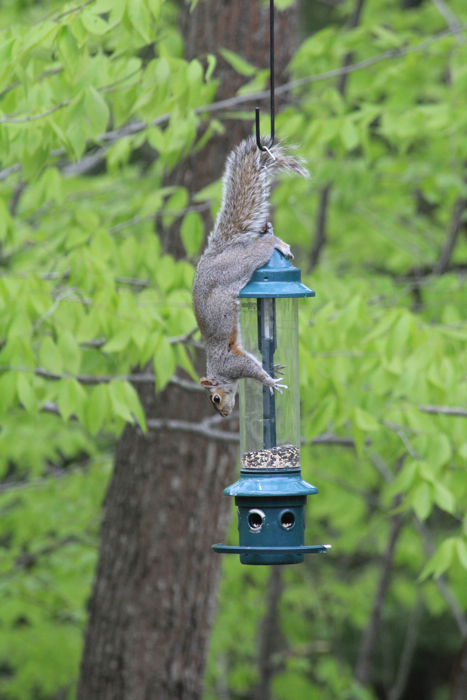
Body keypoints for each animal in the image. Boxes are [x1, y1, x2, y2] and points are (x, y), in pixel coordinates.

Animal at [192, 138, 308, 416]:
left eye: (215, 399)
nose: (224, 414)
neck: (219, 370)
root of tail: (214, 255)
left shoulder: (233, 363)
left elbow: (252, 369)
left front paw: (270, 381)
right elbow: (257, 360)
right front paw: (272, 369)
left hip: (243, 263)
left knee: (265, 245)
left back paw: (278, 243)